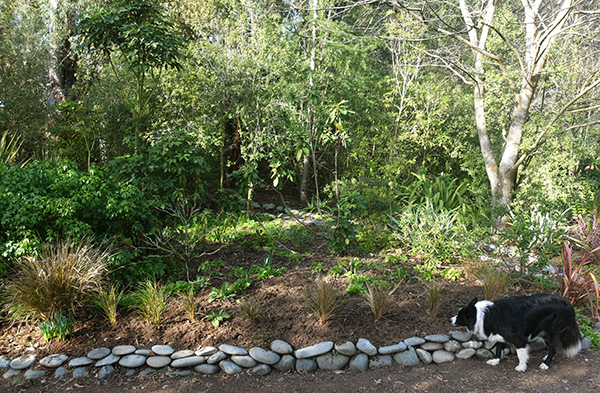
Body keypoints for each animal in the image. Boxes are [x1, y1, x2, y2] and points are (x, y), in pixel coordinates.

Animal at [450, 294, 580, 370]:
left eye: (460, 316)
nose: (450, 320)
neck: (483, 315)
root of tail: (568, 303)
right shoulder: (499, 335)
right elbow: (498, 349)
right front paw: (496, 361)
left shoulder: (519, 339)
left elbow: (521, 354)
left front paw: (521, 367)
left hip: (553, 331)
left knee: (553, 348)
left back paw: (546, 364)